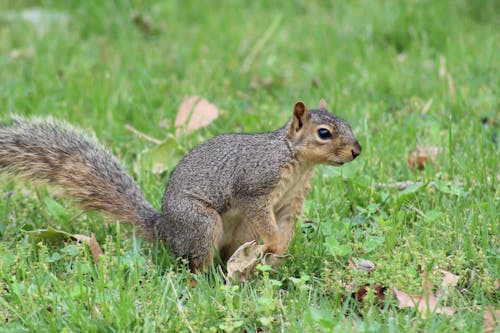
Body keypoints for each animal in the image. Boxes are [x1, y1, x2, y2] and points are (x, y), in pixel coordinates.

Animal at [0, 100, 360, 270]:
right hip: (200, 223)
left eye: (348, 124)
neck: (297, 161)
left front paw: (279, 250)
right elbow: (262, 214)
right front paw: (271, 242)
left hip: (237, 232)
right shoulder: (254, 186)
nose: (357, 151)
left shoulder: (290, 202)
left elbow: (285, 226)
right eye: (324, 133)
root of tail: (165, 229)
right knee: (195, 263)